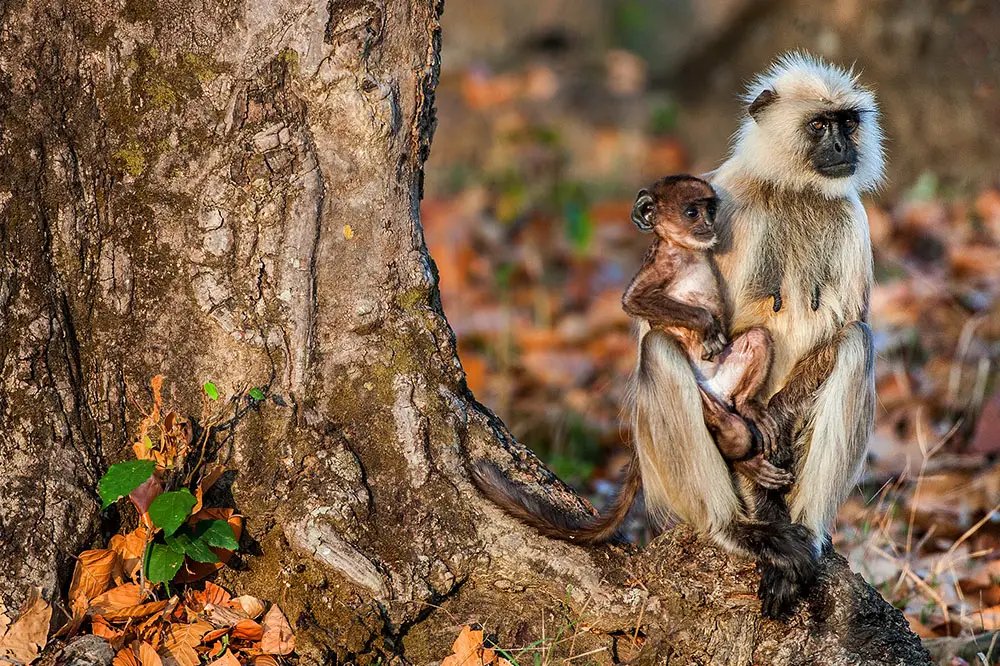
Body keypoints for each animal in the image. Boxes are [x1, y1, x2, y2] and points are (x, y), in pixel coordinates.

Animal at [624, 176, 788, 488]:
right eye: (692, 213)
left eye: (710, 210)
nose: (709, 223)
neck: (687, 252)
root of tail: (718, 390)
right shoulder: (662, 262)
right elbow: (632, 300)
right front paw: (706, 325)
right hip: (700, 394)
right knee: (736, 433)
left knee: (758, 338)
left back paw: (747, 405)